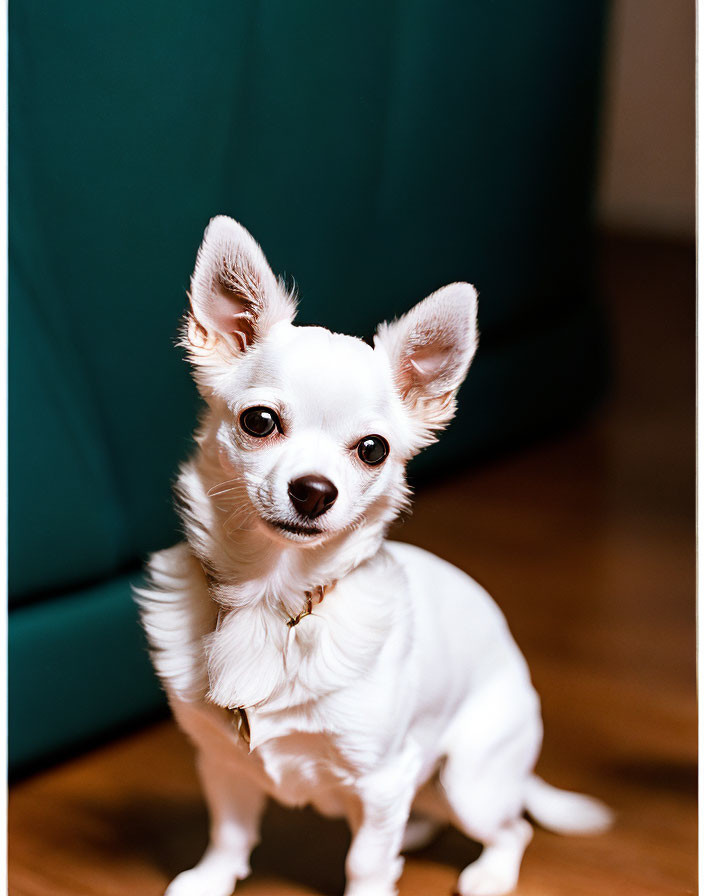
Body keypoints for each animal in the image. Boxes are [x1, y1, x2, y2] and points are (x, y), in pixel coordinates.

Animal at [138, 217, 612, 896]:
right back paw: (413, 838)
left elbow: (363, 860)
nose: (314, 491)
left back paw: (487, 872)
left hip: (469, 777)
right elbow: (229, 830)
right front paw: (209, 879)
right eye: (259, 421)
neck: (271, 594)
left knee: (510, 826)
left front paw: (373, 881)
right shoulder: (222, 759)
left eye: (372, 449)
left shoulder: (382, 776)